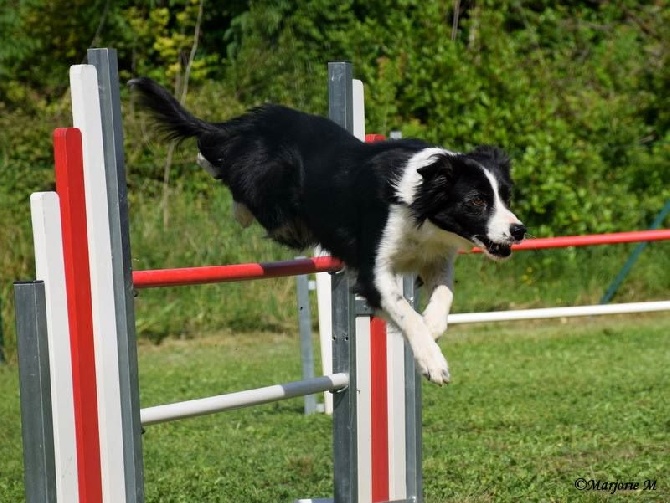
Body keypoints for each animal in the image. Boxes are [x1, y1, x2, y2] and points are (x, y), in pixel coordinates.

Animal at [131, 78, 528, 386]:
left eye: (506, 196)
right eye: (476, 201)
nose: (519, 230)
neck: (421, 201)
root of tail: (248, 123)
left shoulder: (435, 256)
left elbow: (443, 295)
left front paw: (431, 331)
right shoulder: (373, 269)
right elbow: (403, 310)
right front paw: (432, 361)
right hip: (273, 194)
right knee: (220, 161)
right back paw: (226, 187)